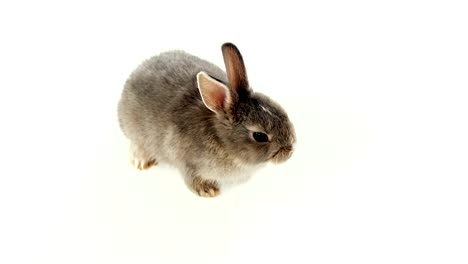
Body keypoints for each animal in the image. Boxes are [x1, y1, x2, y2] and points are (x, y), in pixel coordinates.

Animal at [117, 42, 294, 197]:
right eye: (260, 136)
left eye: (282, 112)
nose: (290, 150)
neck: (220, 139)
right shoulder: (186, 162)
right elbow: (191, 178)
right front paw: (208, 191)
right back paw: (141, 160)